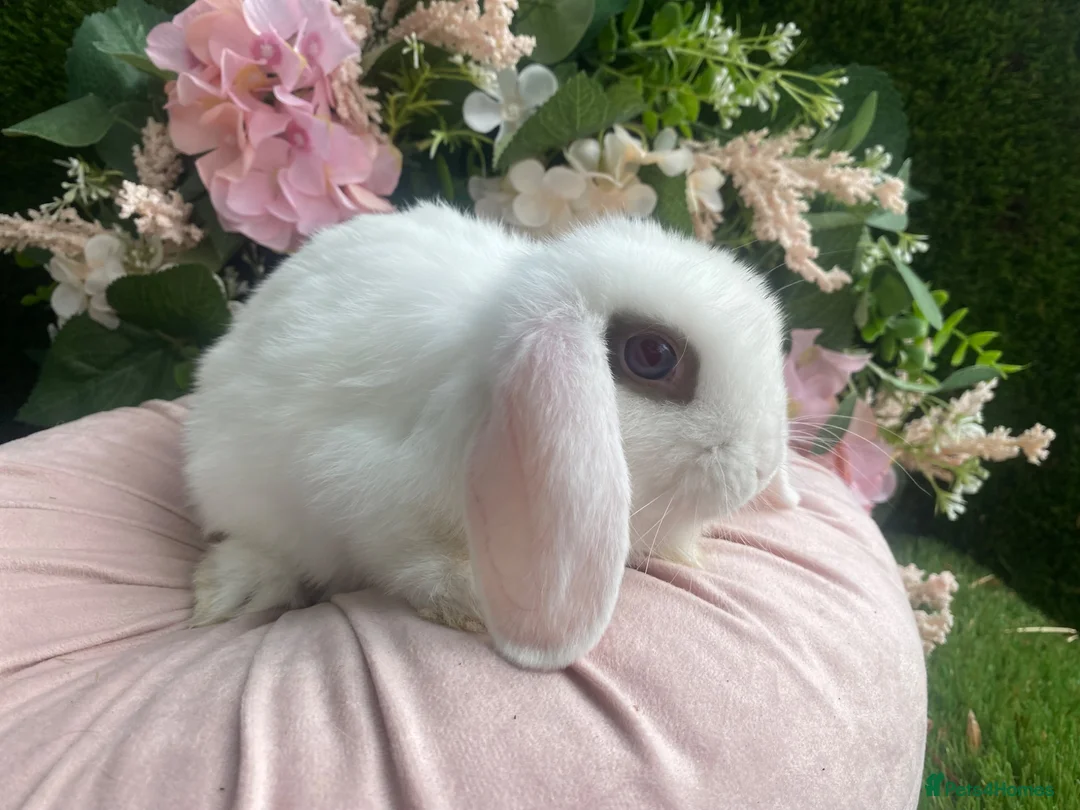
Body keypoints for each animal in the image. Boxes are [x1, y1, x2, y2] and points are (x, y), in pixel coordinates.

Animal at [183, 200, 799, 671]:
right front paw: (468, 601)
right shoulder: (359, 491)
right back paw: (230, 590)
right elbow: (406, 559)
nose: (762, 467)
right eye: (652, 354)